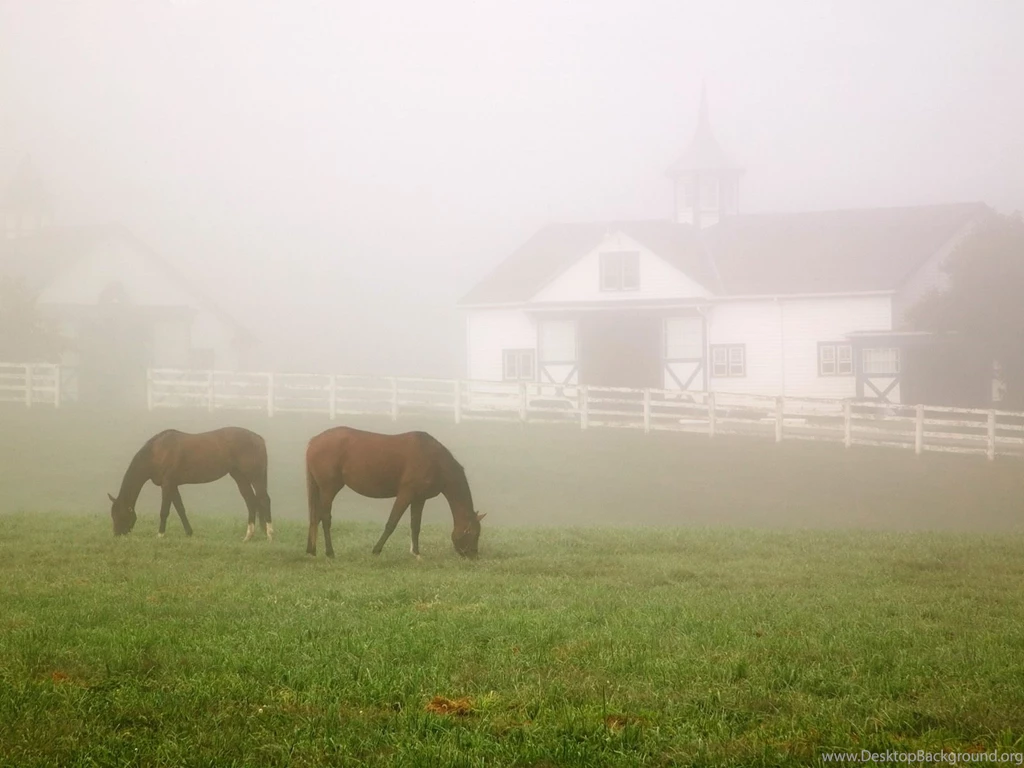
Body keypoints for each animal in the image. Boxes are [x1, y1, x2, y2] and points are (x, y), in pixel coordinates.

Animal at [107, 426, 272, 541]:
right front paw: (189, 533)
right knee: (251, 501)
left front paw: (160, 535)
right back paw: (248, 537)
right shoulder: (172, 485)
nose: (116, 534)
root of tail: (258, 439)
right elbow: (180, 509)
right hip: (240, 477)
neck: (157, 451)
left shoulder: (167, 484)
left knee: (264, 500)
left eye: (119, 514)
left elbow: (164, 511)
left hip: (255, 477)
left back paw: (270, 535)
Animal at [304, 426, 485, 559]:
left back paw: (311, 550)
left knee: (315, 517)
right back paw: (330, 552)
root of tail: (314, 441)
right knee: (325, 518)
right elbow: (392, 523)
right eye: (472, 533)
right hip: (329, 489)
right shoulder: (406, 494)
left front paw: (416, 553)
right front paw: (376, 550)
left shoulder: (419, 499)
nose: (473, 556)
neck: (434, 460)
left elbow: (415, 525)